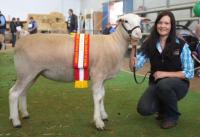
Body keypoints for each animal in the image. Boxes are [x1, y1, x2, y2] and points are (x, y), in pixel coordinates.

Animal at [9, 13, 144, 130]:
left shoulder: (103, 77)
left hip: (32, 74)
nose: (139, 34)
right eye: (125, 21)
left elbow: (102, 96)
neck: (114, 43)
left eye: (140, 21)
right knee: (14, 93)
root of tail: (19, 43)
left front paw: (103, 115)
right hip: (25, 72)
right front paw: (98, 122)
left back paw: (24, 114)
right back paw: (16, 121)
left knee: (23, 92)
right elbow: (97, 97)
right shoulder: (97, 74)